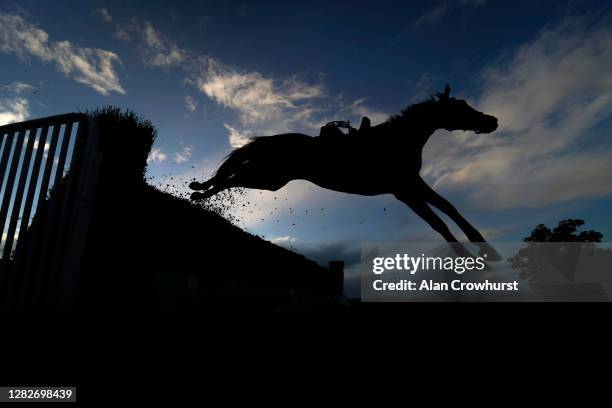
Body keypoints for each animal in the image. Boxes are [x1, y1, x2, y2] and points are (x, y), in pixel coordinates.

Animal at [191, 84, 502, 260]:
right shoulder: (403, 190)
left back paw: (198, 188)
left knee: (232, 175)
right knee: (231, 178)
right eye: (460, 107)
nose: (493, 121)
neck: (396, 141)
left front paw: (487, 251)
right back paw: (200, 194)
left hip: (270, 179)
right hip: (266, 177)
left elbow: (449, 209)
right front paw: (467, 255)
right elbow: (437, 223)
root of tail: (276, 140)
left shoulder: (414, 183)